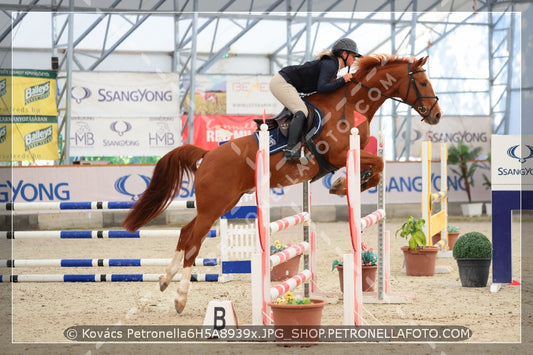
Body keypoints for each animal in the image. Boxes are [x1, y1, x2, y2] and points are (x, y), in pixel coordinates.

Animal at [122, 54, 442, 312]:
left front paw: (345, 184)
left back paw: (165, 280)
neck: (350, 104)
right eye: (423, 82)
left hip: (222, 203)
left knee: (186, 232)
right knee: (193, 241)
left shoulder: (347, 156)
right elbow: (378, 163)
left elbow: (376, 166)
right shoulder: (339, 154)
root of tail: (209, 153)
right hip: (214, 205)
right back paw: (179, 298)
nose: (437, 116)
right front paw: (343, 185)